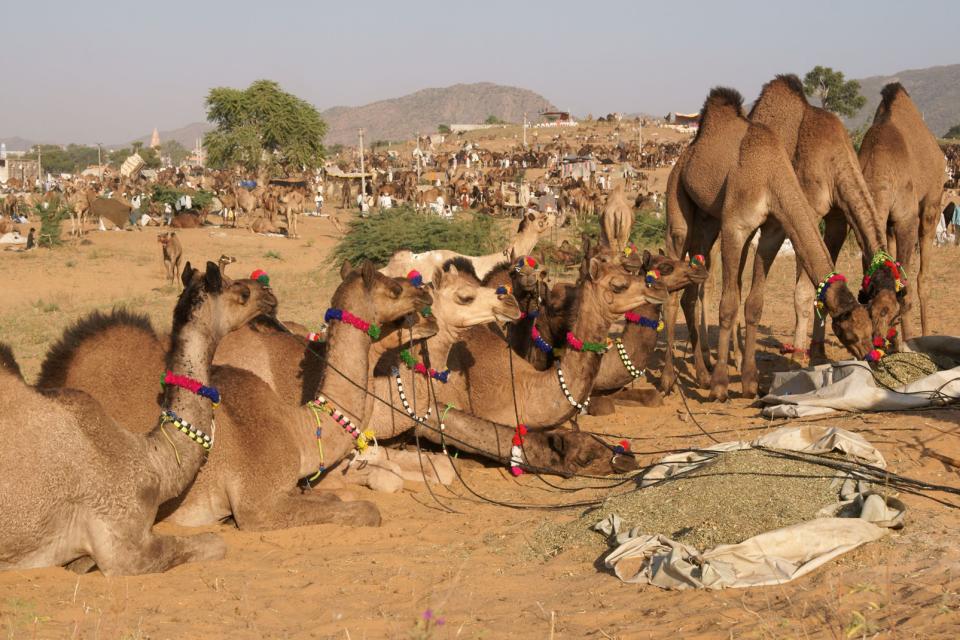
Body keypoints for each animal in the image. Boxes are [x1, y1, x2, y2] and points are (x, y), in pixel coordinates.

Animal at [660, 87, 876, 400]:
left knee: (690, 292)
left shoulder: (773, 231)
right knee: (672, 290)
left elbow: (754, 304)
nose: (871, 354)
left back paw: (701, 374)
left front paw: (750, 383)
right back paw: (668, 380)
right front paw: (721, 386)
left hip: (708, 221)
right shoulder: (735, 227)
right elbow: (728, 305)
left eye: (870, 327)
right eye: (851, 331)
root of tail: (685, 155)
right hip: (677, 202)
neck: (771, 174)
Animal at [856, 84, 944, 340]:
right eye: (868, 313)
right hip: (889, 224)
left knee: (922, 275)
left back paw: (925, 333)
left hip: (933, 201)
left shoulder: (907, 219)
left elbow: (905, 282)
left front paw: (909, 339)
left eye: (892, 313)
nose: (878, 338)